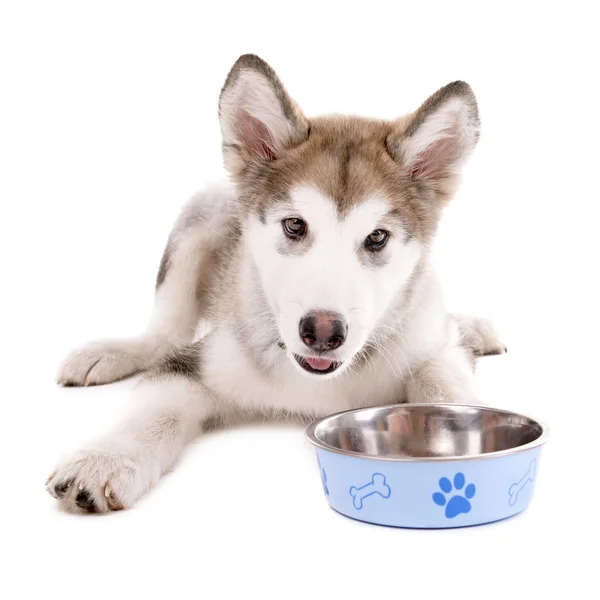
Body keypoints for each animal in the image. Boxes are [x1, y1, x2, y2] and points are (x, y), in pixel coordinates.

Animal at [48, 54, 506, 510]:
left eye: (377, 237)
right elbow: (155, 409)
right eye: (295, 225)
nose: (322, 332)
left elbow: (444, 382)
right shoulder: (195, 364)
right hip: (204, 211)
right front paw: (106, 458)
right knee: (165, 332)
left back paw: (474, 327)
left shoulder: (431, 344)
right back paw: (114, 351)